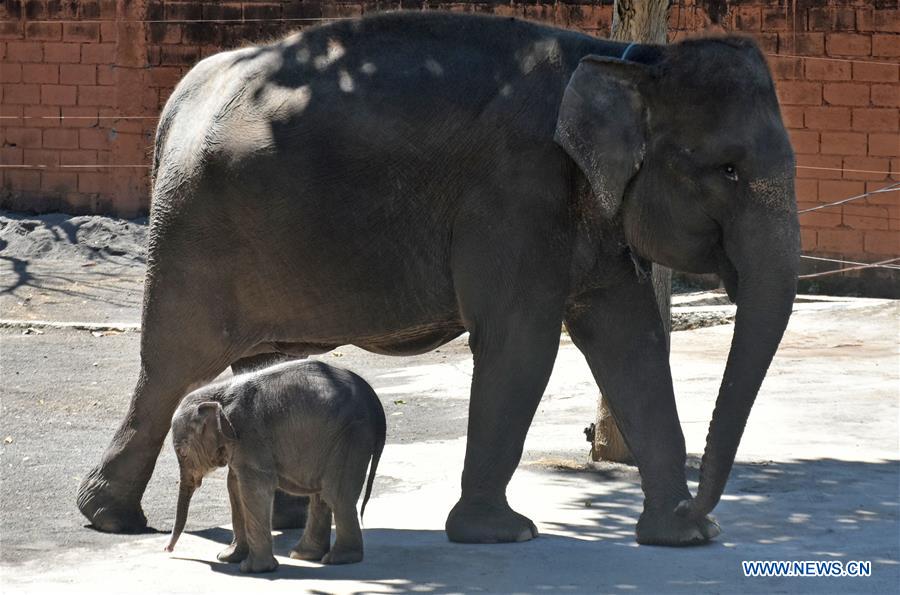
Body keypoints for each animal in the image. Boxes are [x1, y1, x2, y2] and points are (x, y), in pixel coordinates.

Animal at [77, 11, 800, 546]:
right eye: (728, 169)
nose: (704, 512)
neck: (627, 61)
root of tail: (178, 100)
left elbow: (631, 339)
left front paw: (680, 537)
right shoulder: (515, 193)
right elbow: (520, 343)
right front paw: (503, 533)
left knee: (264, 358)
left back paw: (286, 516)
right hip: (192, 230)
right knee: (172, 365)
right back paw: (109, 516)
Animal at [164, 360, 386, 573]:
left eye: (182, 452)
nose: (168, 549)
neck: (218, 394)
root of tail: (375, 404)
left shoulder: (249, 435)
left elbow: (253, 489)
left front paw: (252, 569)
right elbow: (235, 487)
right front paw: (228, 558)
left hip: (352, 433)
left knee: (336, 495)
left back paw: (338, 559)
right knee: (321, 495)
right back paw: (303, 555)